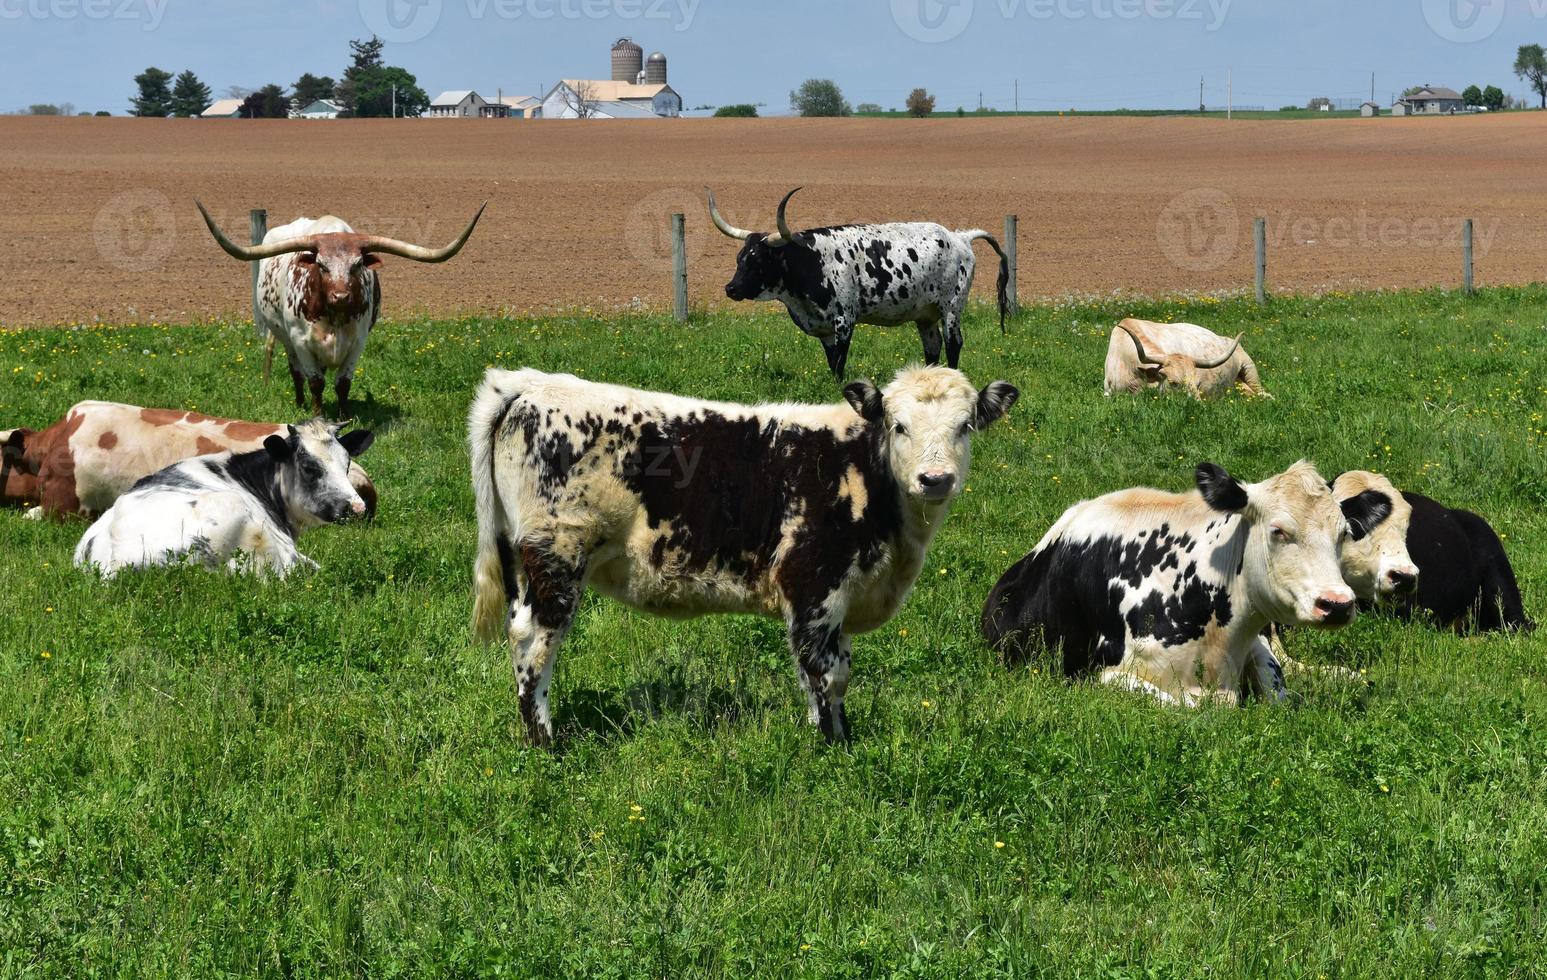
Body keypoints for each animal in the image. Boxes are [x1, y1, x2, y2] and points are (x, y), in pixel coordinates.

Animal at [196, 201, 486, 416]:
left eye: (357, 265)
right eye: (321, 265)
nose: (341, 296)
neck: (334, 318)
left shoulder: (358, 341)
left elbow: (343, 383)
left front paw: (345, 415)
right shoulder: (300, 341)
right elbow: (315, 381)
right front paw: (318, 415)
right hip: (285, 339)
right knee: (296, 373)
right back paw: (300, 403)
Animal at [468, 365, 1020, 747]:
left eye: (965, 426)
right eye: (899, 425)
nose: (935, 479)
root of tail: (530, 384)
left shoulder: (840, 600)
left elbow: (837, 670)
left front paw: (838, 734)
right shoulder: (813, 585)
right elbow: (825, 672)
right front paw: (832, 748)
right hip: (557, 555)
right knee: (535, 643)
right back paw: (545, 742)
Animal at [707, 187, 1010, 380]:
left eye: (758, 260)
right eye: (739, 258)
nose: (730, 288)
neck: (811, 262)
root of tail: (960, 236)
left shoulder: (844, 321)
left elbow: (840, 362)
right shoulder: (825, 330)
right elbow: (832, 363)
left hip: (952, 309)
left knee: (954, 344)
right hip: (925, 316)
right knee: (932, 349)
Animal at [980, 461, 1395, 706]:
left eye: (1344, 533)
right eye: (1278, 530)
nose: (1337, 603)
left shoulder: (1255, 644)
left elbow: (1281, 694)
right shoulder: (1105, 673)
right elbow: (1192, 708)